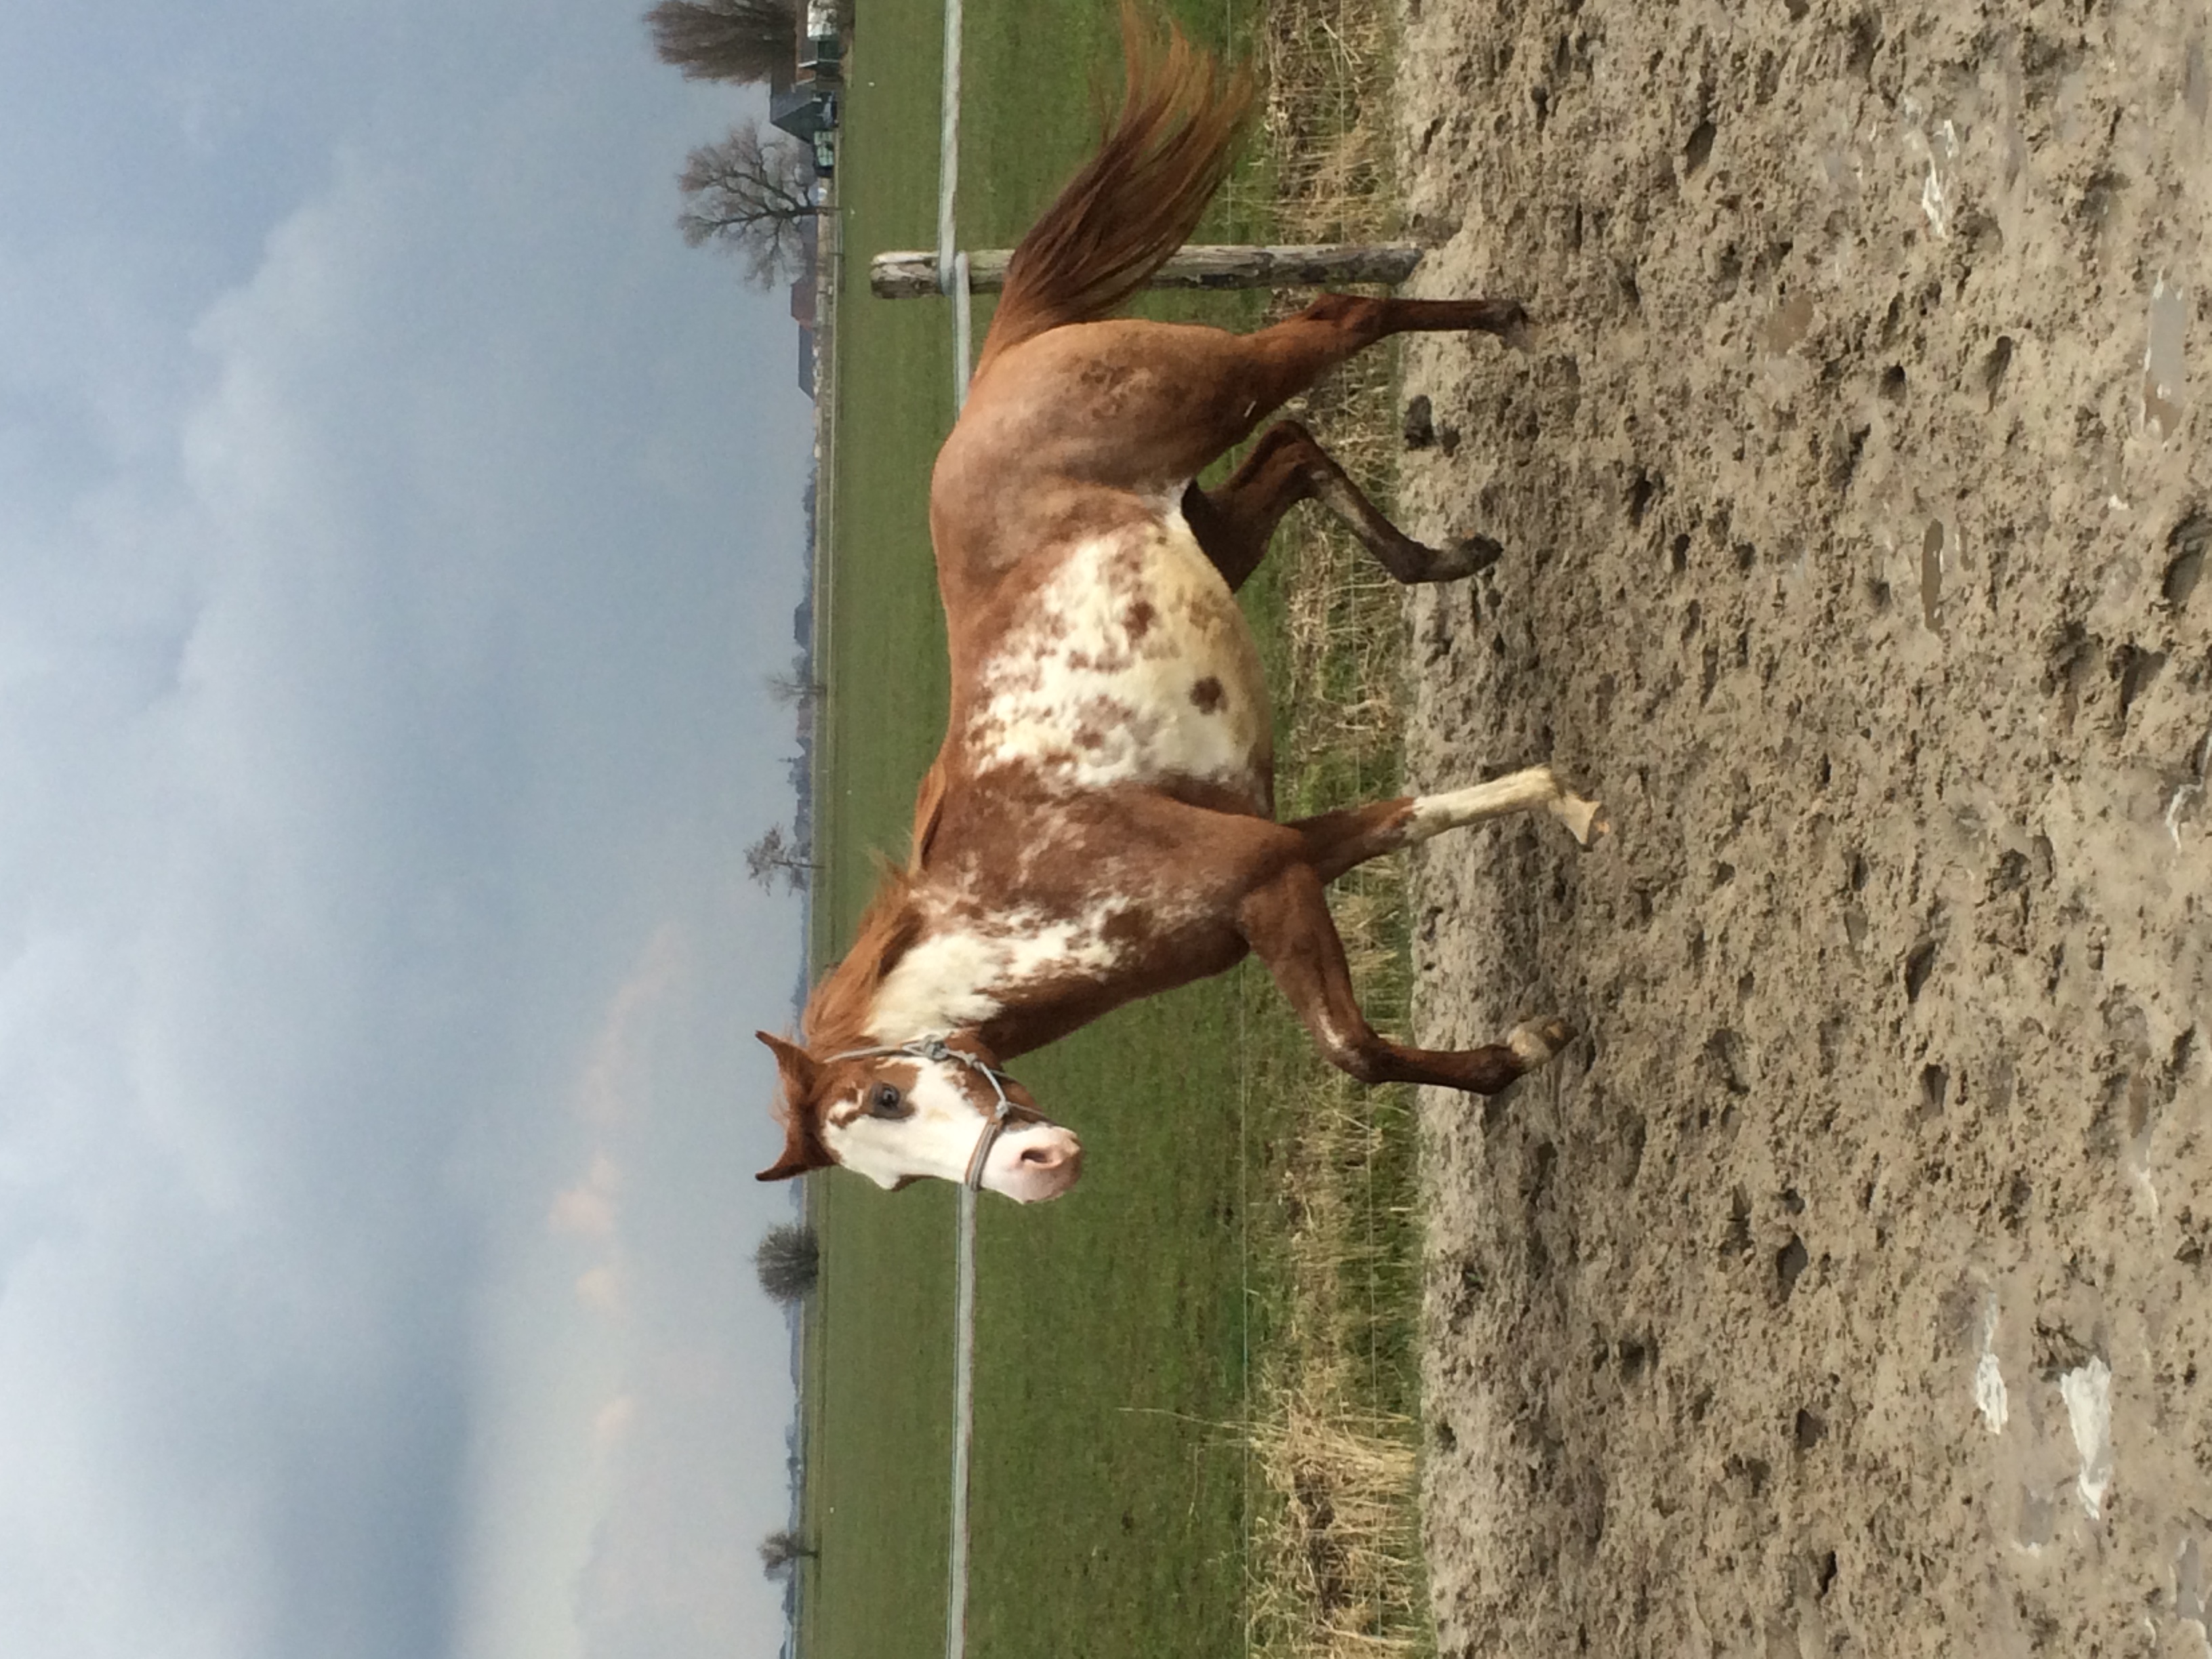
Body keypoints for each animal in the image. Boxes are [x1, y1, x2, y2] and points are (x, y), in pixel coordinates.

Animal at [756, 13, 1604, 1203]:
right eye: (892, 1178)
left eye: (887, 1095)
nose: (1037, 1167)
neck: (1026, 905)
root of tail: (1003, 361)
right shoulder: (1286, 858)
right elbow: (1414, 822)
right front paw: (1561, 826)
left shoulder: (1266, 878)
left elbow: (1356, 1050)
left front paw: (1533, 1018)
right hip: (1215, 527)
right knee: (1295, 449)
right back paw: (1443, 557)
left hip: (1222, 388)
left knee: (1339, 317)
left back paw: (1505, 318)